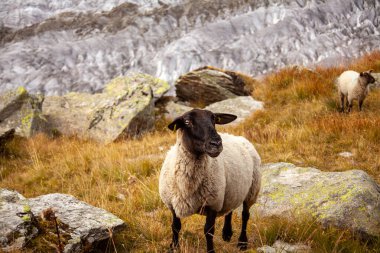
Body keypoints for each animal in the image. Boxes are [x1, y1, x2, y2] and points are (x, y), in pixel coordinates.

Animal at [158, 108, 262, 253]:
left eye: (214, 119)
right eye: (187, 121)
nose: (216, 144)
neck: (188, 185)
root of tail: (237, 136)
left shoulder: (213, 204)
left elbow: (209, 231)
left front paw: (211, 250)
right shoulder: (172, 204)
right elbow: (175, 226)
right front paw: (174, 247)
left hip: (252, 190)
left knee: (245, 215)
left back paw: (242, 242)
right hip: (231, 190)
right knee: (230, 209)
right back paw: (227, 233)